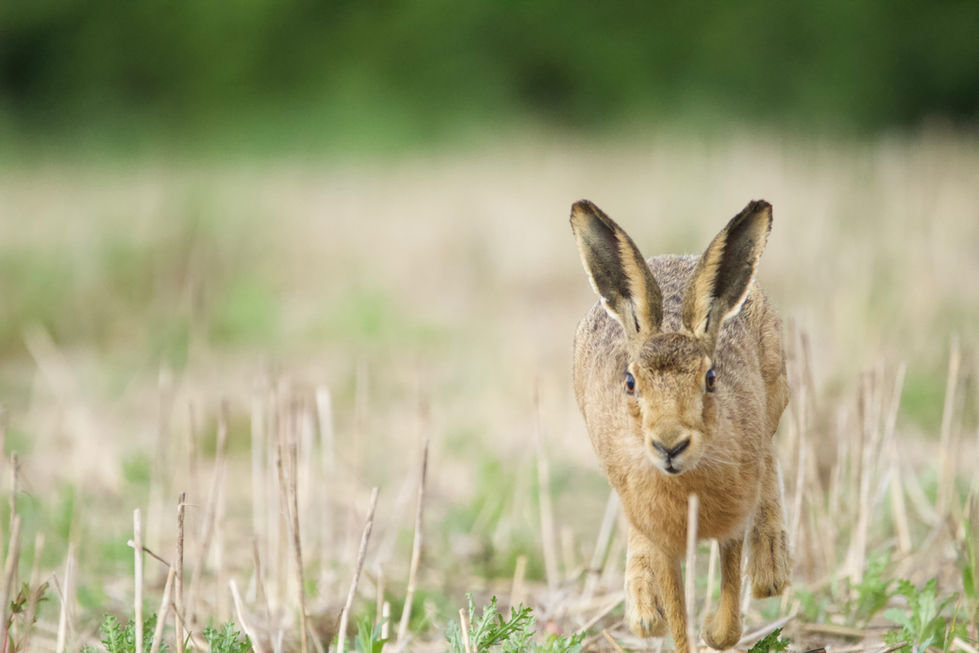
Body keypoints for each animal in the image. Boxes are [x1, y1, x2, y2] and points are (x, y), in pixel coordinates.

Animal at [570, 199, 791, 651]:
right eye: (630, 382)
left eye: (711, 378)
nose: (669, 446)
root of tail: (672, 258)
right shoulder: (661, 540)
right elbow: (677, 616)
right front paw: (664, 618)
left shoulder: (732, 525)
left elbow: (730, 603)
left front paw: (713, 630)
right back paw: (643, 611)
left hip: (776, 395)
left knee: (769, 461)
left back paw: (770, 571)